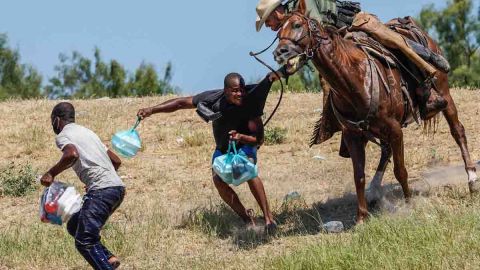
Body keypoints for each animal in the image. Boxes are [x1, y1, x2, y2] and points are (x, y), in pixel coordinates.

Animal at [276, 0, 478, 224]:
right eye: (278, 31)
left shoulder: (395, 129)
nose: (280, 52)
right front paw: (361, 217)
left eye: (297, 25)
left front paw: (409, 204)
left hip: (445, 95)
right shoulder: (353, 135)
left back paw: (472, 179)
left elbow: (400, 170)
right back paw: (374, 190)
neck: (354, 79)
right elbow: (359, 176)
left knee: (458, 131)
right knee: (386, 151)